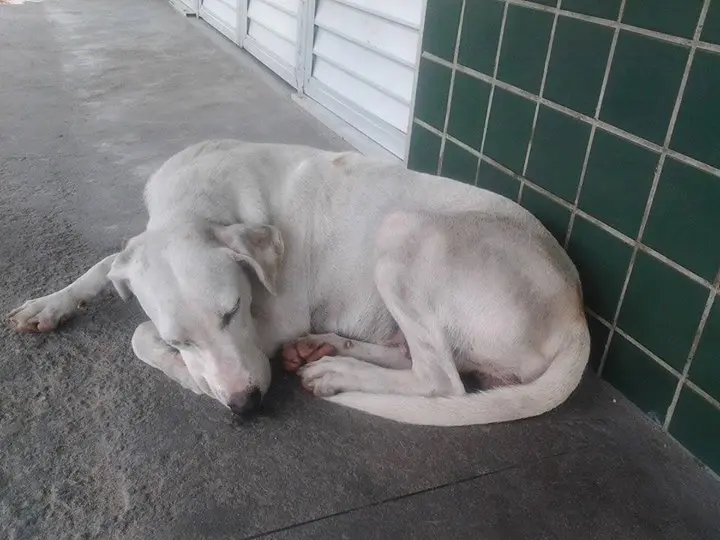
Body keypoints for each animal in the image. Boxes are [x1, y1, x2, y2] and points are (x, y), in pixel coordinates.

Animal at [7, 140, 590, 425]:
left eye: (233, 311)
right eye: (183, 337)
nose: (245, 406)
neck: (200, 198)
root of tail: (578, 313)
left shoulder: (276, 319)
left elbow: (138, 334)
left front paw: (186, 376)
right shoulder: (143, 246)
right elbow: (110, 264)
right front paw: (49, 304)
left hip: (403, 231)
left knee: (440, 380)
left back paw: (337, 372)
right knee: (414, 355)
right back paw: (327, 350)